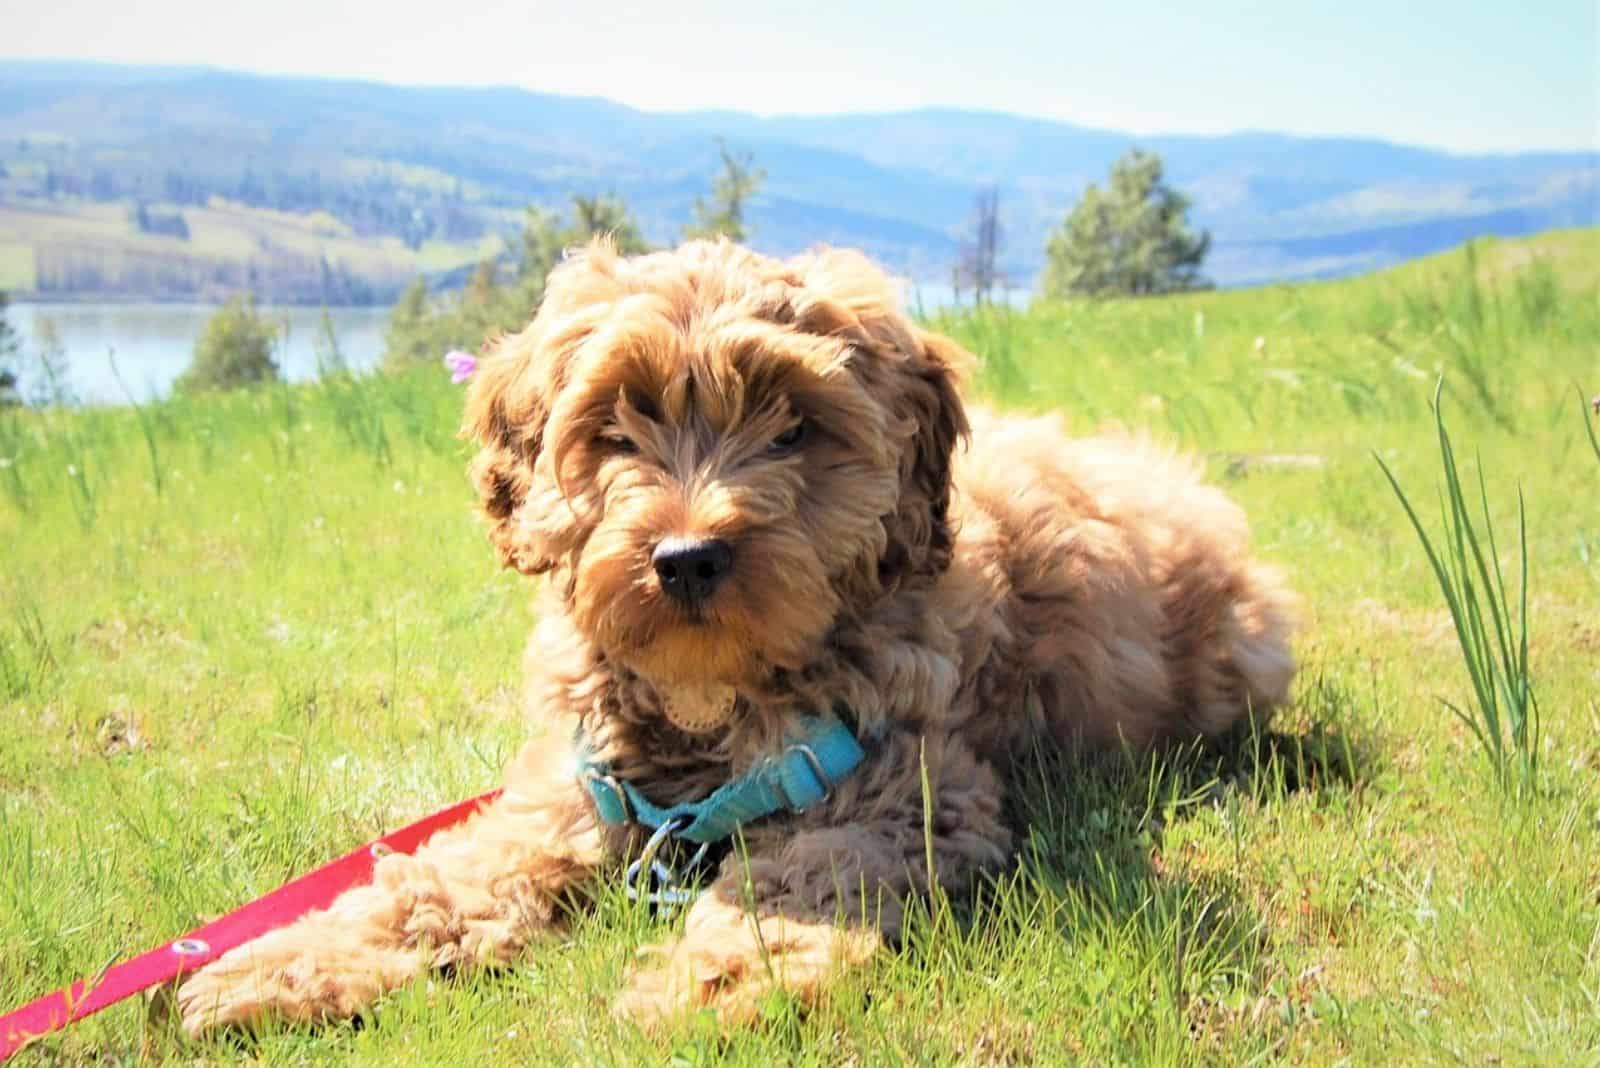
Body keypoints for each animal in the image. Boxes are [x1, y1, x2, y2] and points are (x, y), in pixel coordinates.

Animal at [178, 239, 1299, 1036]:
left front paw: (706, 983)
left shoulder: (910, 795)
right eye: (617, 425)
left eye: (793, 425)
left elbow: (800, 881)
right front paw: (277, 965)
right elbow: (443, 880)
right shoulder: (568, 797)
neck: (707, 708)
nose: (686, 559)